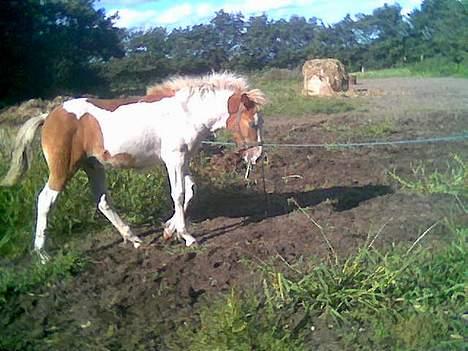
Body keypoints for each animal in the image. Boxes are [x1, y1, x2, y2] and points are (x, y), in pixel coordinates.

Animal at [1, 73, 266, 262]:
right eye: (253, 123)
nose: (257, 156)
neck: (186, 114)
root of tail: (48, 115)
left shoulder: (183, 160)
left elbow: (190, 190)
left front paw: (168, 231)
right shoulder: (174, 159)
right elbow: (178, 194)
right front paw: (188, 236)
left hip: (93, 166)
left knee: (103, 202)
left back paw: (135, 239)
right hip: (63, 168)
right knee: (45, 200)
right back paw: (42, 253)